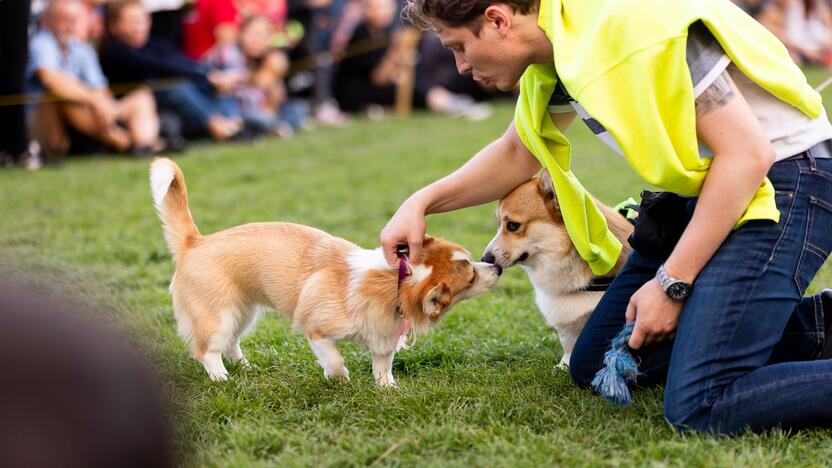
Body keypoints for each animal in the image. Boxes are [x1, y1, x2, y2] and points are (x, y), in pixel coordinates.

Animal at [150, 159, 500, 386]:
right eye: (470, 275)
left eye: (472, 262)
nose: (495, 266)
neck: (396, 281)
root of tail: (195, 242)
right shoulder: (316, 330)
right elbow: (334, 358)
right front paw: (340, 379)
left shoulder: (383, 337)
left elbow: (383, 366)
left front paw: (387, 389)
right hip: (218, 315)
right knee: (206, 350)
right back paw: (220, 377)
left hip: (242, 313)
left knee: (231, 344)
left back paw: (245, 368)